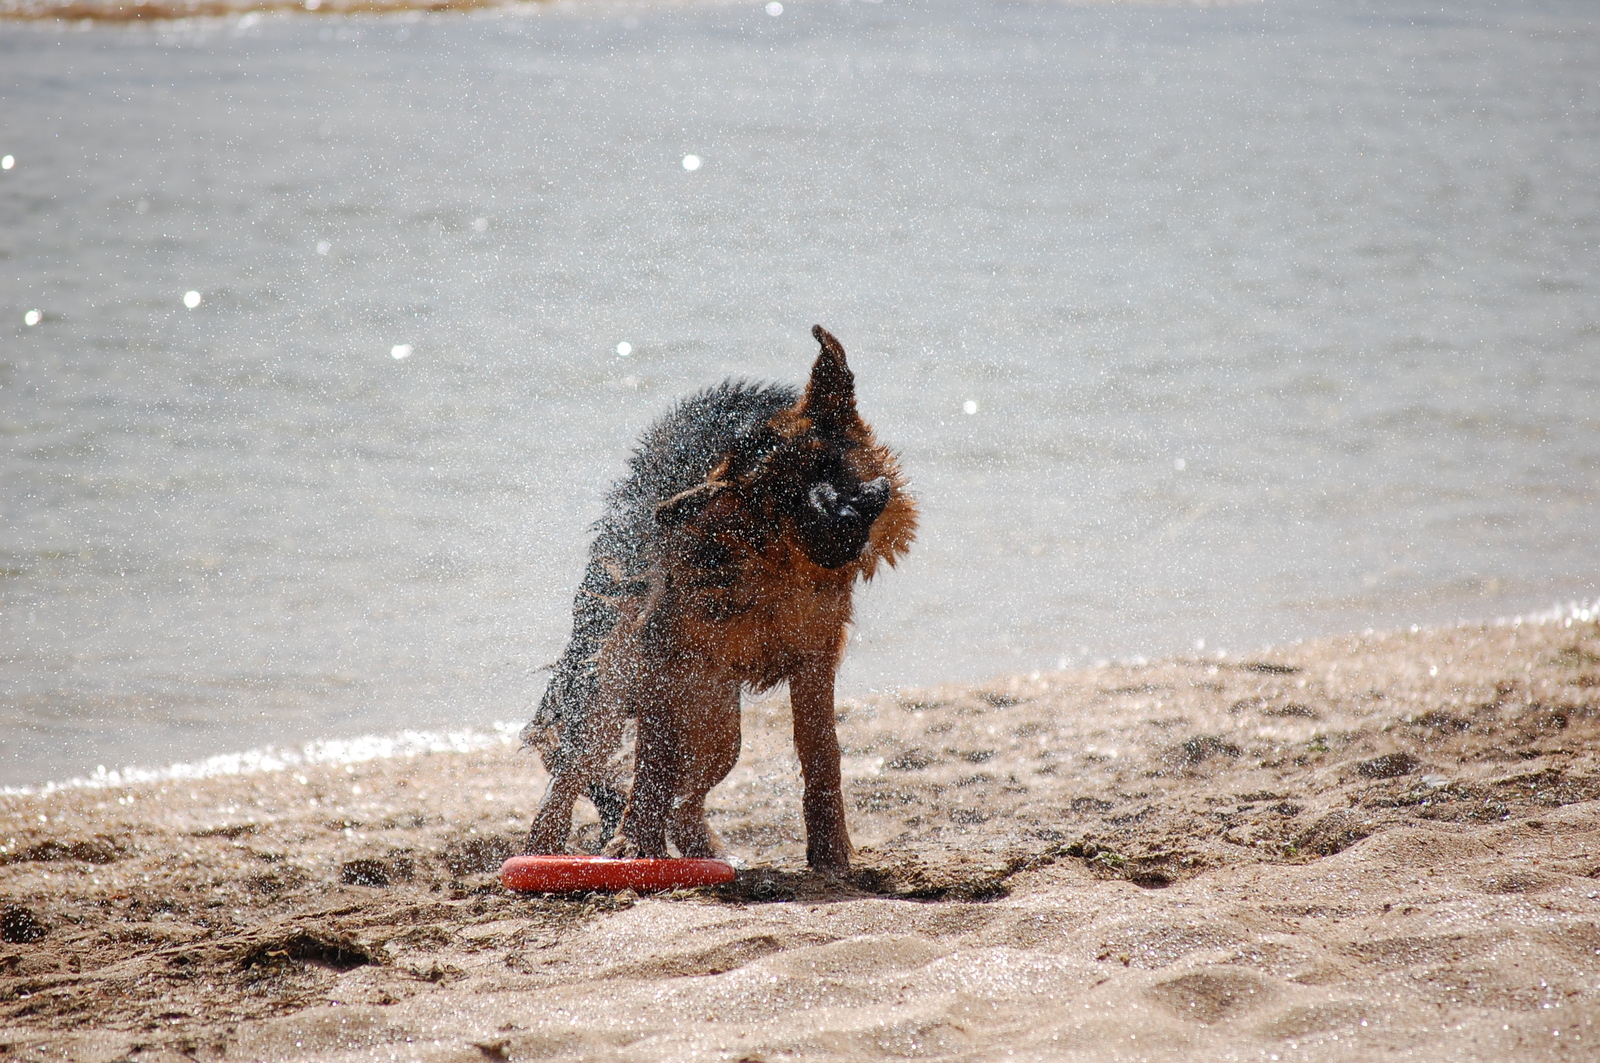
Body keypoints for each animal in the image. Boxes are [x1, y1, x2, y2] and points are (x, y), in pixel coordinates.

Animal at [524, 326, 915, 870]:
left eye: (826, 464)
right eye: (778, 497)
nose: (841, 522)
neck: (772, 565)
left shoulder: (814, 655)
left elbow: (821, 753)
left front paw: (831, 851)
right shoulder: (665, 661)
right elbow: (651, 763)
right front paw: (634, 847)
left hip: (719, 728)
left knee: (683, 803)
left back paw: (703, 851)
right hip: (613, 689)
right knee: (570, 780)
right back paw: (545, 853)